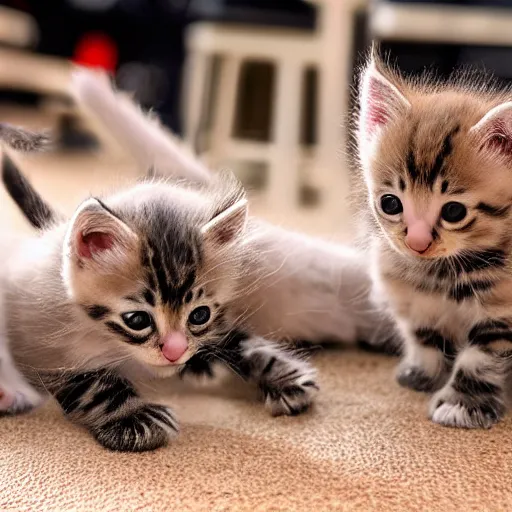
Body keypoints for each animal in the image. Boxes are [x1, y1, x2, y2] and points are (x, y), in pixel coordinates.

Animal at [358, 52, 512, 428]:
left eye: (454, 211)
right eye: (391, 203)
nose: (417, 243)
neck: (440, 275)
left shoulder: (504, 312)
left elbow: (482, 358)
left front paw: (462, 405)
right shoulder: (407, 294)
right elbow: (423, 335)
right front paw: (423, 373)